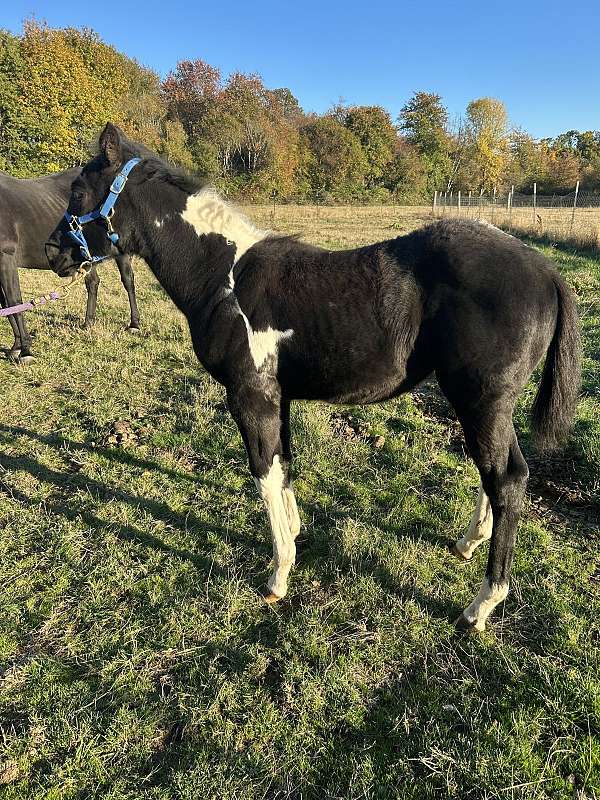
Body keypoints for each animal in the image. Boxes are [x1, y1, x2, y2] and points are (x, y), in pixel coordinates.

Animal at [0, 167, 141, 362]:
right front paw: (16, 347)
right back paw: (88, 323)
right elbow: (7, 305)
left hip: (121, 253)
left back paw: (134, 324)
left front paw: (26, 350)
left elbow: (14, 301)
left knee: (128, 282)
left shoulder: (6, 258)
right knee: (93, 283)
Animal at [49, 123, 581, 631]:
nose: (54, 252)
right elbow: (283, 466)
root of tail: (547, 271)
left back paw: (480, 606)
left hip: (480, 401)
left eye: (78, 192)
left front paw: (278, 576)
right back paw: (468, 543)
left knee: (507, 480)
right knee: (499, 474)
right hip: (486, 405)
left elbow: (263, 472)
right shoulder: (277, 396)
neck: (224, 278)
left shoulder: (251, 395)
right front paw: (297, 532)